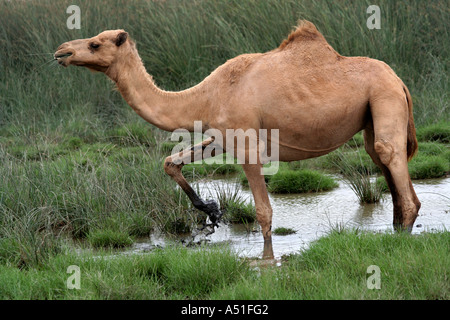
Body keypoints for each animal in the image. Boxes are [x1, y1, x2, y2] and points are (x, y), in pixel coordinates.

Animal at [55, 20, 422, 260]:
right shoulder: (221, 137)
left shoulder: (248, 145)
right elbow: (171, 161)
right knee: (382, 161)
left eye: (95, 44)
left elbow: (264, 212)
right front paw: (211, 212)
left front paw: (266, 262)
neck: (204, 97)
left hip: (384, 96)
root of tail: (400, 81)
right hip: (372, 114)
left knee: (394, 169)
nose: (61, 51)